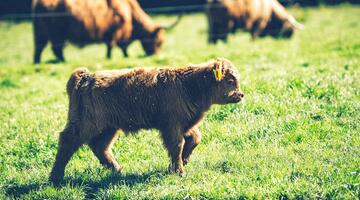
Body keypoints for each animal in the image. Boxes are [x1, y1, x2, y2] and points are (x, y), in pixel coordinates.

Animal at [48, 58, 245, 184]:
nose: (241, 94)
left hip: (109, 127)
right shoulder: (172, 126)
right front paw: (179, 171)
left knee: (100, 147)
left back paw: (118, 171)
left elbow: (195, 139)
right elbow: (177, 146)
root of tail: (85, 76)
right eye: (230, 80)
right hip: (85, 123)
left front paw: (183, 161)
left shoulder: (185, 123)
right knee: (67, 141)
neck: (190, 86)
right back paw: (55, 177)